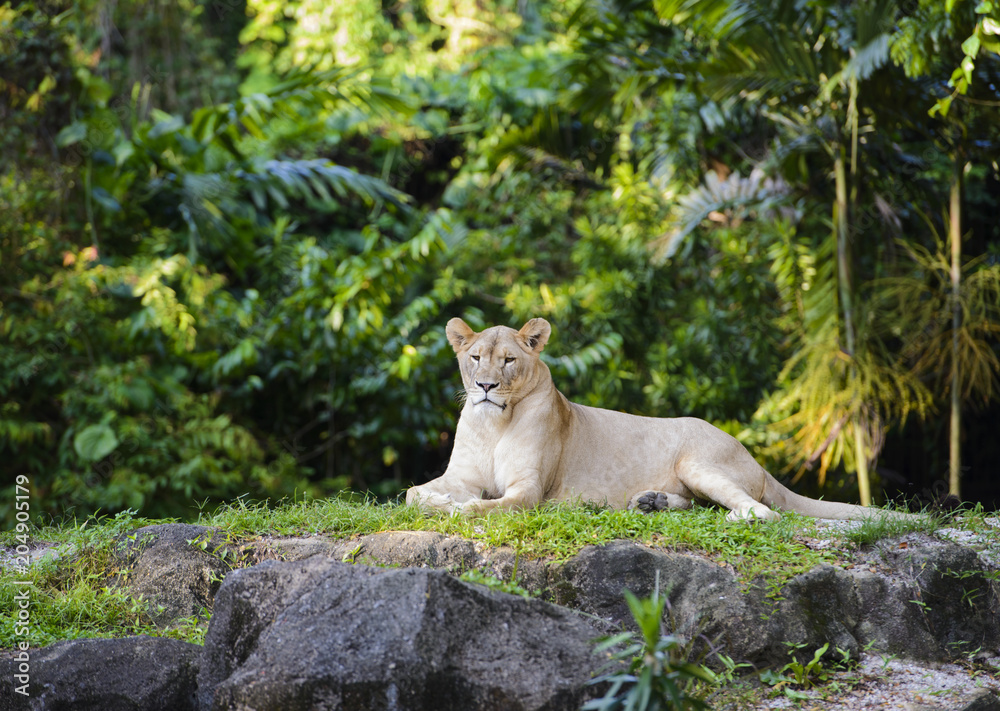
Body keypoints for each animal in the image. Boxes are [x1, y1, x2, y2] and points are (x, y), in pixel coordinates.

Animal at [405, 317, 914, 521]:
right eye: (475, 357)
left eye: (508, 361)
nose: (485, 387)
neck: (495, 424)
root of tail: (754, 458)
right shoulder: (463, 474)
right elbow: (413, 492)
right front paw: (437, 501)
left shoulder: (530, 489)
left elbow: (490, 506)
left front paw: (459, 508)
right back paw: (650, 503)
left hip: (698, 462)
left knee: (761, 510)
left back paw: (738, 516)